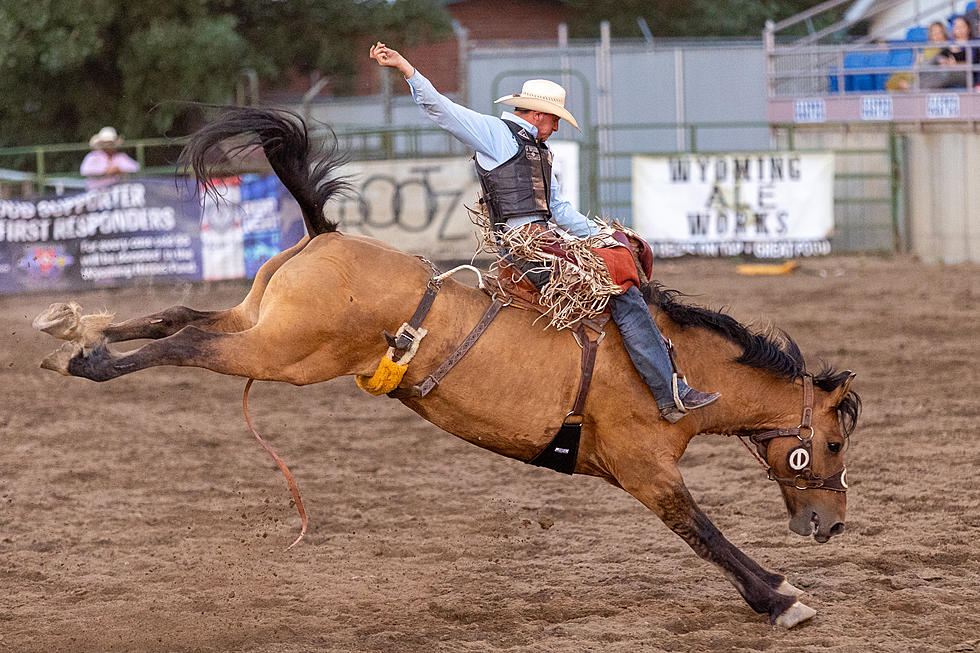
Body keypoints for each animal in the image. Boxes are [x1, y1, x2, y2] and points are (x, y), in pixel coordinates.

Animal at [32, 107, 856, 628]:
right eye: (833, 443)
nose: (833, 525)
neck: (677, 363)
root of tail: (327, 235)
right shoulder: (644, 468)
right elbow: (704, 532)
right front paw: (781, 597)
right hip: (282, 353)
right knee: (181, 345)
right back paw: (88, 358)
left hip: (261, 321)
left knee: (179, 316)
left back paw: (73, 331)